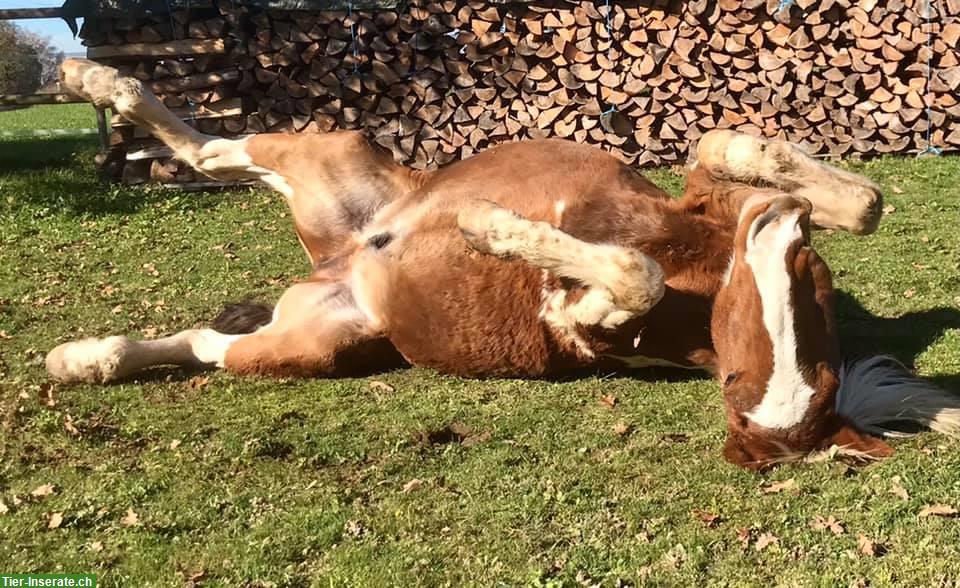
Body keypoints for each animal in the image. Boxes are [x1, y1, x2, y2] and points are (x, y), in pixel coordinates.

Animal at [47, 59, 960, 470]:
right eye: (737, 380)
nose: (779, 229)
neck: (705, 269)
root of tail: (341, 267)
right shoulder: (710, 202)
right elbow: (846, 192)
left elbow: (626, 278)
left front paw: (493, 230)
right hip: (332, 160)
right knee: (210, 152)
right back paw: (98, 82)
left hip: (305, 346)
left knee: (206, 340)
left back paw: (82, 358)